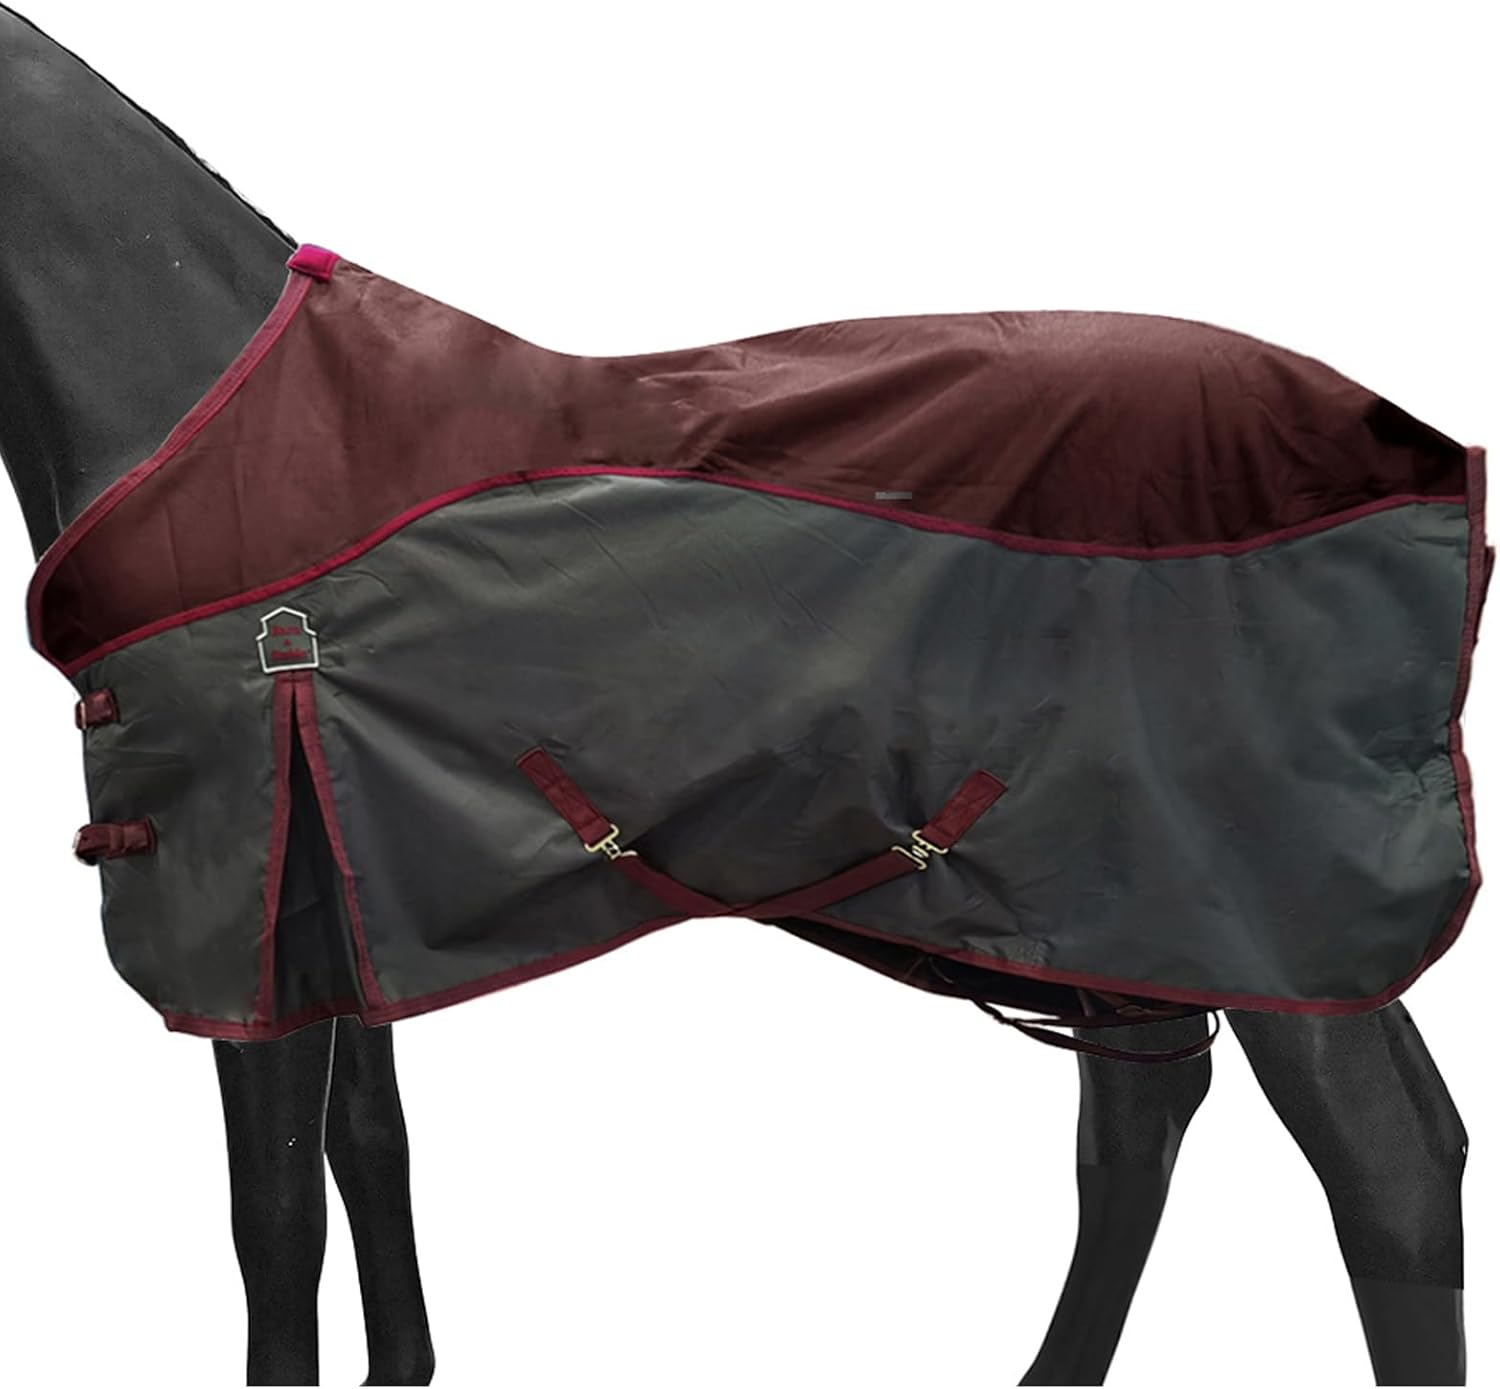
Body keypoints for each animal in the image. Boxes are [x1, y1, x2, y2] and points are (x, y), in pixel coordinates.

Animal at [0, 7, 1472, 1385]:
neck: (193, 414)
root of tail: (1417, 444)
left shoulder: (237, 908)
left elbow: (273, 1220)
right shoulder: (328, 899)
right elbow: (370, 1148)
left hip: (1271, 909)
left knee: (1389, 1158)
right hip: (1117, 906)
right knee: (1140, 1128)